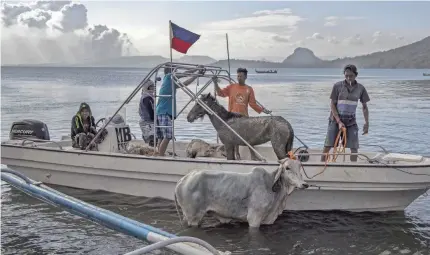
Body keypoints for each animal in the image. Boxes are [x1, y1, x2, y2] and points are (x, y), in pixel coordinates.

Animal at [173, 158, 308, 228]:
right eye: (287, 168)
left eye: (300, 167)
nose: (305, 184)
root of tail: (182, 180)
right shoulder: (254, 217)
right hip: (193, 216)